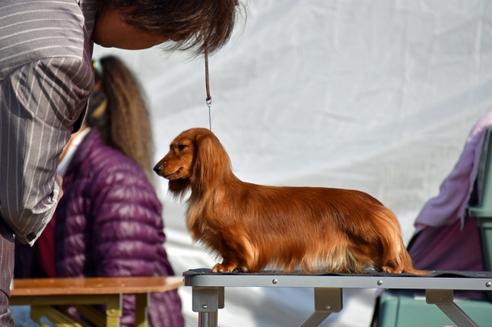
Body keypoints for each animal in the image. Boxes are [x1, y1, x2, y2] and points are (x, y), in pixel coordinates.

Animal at [156, 128, 424, 274]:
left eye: (181, 146)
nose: (156, 168)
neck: (212, 192)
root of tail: (375, 203)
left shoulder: (234, 238)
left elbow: (234, 253)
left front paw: (226, 266)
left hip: (373, 235)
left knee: (393, 251)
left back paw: (392, 266)